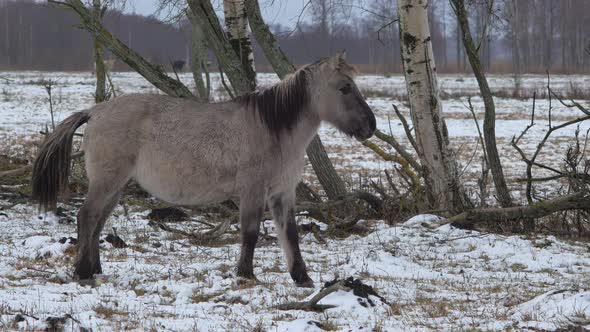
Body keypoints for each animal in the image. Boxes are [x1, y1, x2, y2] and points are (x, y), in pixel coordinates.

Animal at [32, 52, 376, 288]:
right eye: (345, 88)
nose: (370, 126)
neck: (272, 129)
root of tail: (94, 111)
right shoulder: (253, 191)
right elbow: (251, 232)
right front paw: (245, 275)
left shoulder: (283, 194)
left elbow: (289, 234)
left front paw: (302, 277)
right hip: (107, 181)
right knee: (87, 217)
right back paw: (82, 272)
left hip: (116, 186)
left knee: (98, 223)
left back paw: (95, 269)